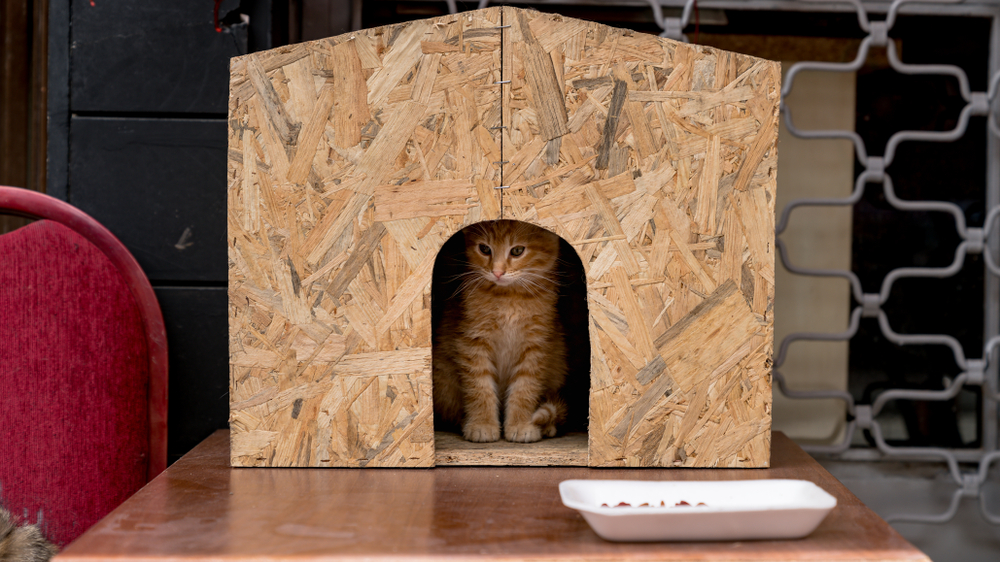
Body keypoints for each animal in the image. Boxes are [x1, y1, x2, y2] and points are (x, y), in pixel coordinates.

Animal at [432, 220, 572, 442]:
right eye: (484, 249)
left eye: (517, 251)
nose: (497, 272)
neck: (509, 297)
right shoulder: (473, 341)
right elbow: (479, 386)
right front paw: (482, 424)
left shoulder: (536, 344)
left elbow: (525, 387)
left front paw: (521, 424)